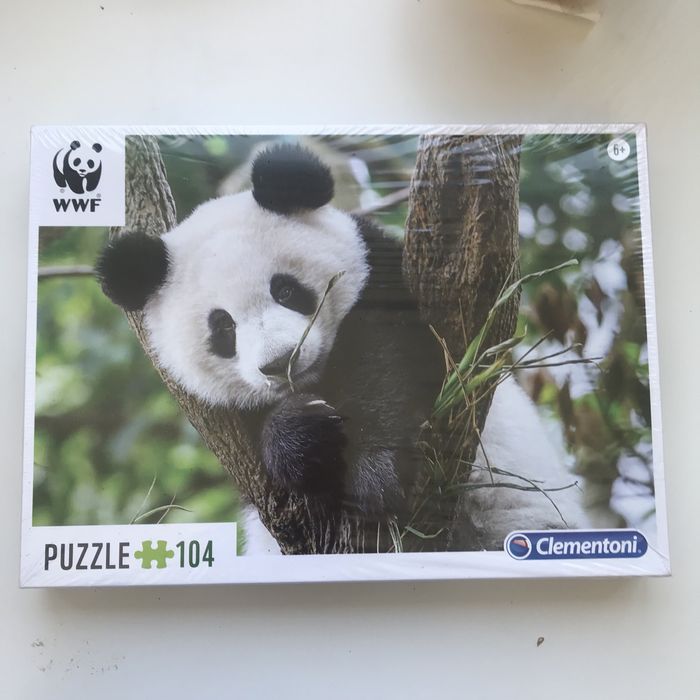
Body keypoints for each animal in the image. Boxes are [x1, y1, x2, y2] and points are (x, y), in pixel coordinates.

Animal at [96, 143, 588, 554]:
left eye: (287, 290)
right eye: (223, 328)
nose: (281, 362)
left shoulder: (382, 280)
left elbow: (392, 368)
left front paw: (374, 475)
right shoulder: (222, 421)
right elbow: (263, 462)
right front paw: (303, 430)